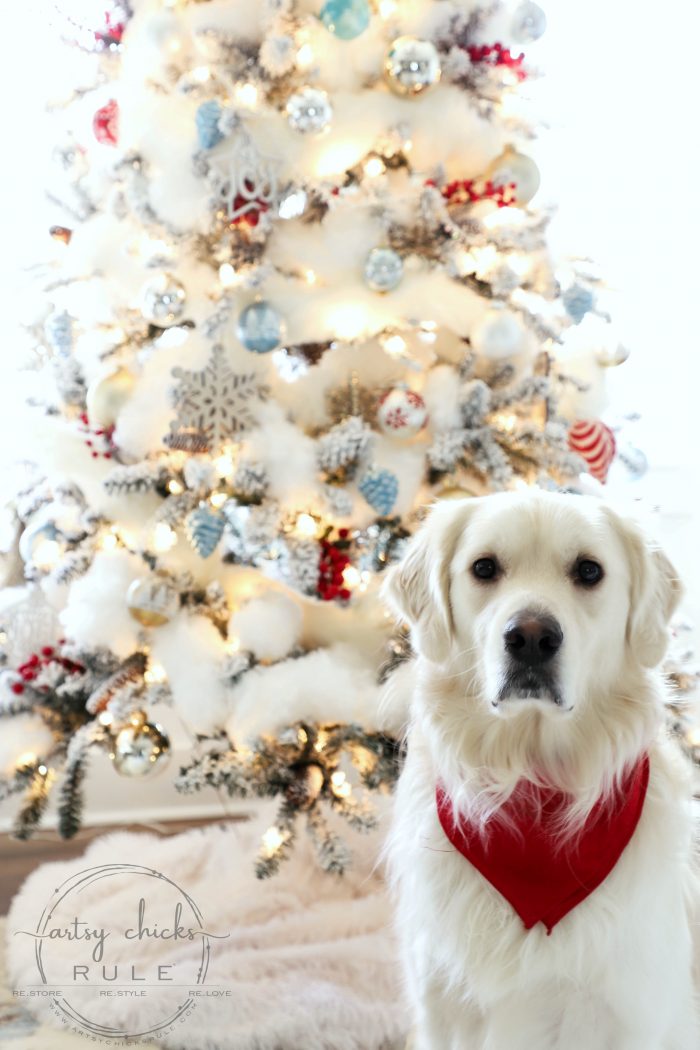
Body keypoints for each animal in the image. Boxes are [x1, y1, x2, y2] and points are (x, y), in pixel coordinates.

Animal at [384, 491, 700, 1050]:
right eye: (484, 568)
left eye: (589, 571)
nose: (531, 638)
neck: (533, 782)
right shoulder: (440, 1006)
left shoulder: (631, 1016)